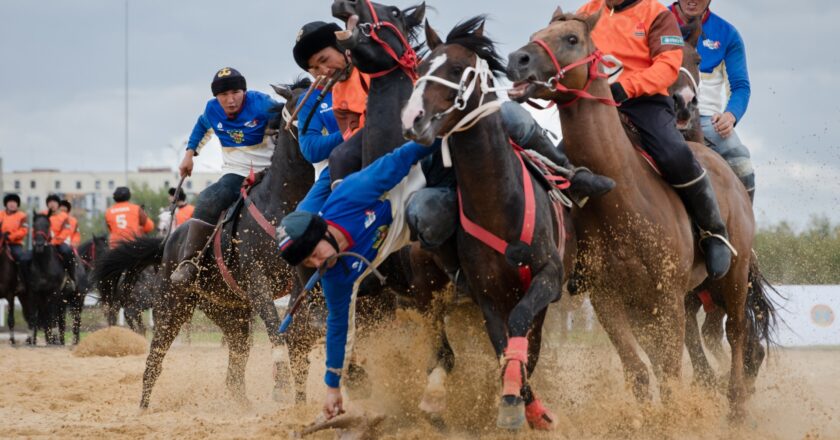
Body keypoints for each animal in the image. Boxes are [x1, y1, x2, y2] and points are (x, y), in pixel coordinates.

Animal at [92, 79, 316, 410]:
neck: (281, 202)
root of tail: (168, 244)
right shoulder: (258, 281)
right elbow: (276, 328)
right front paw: (281, 387)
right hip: (172, 308)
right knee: (155, 358)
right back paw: (144, 407)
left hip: (232, 315)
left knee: (235, 371)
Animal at [402, 16, 576, 430]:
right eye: (421, 67)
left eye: (455, 70)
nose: (413, 119)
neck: (499, 206)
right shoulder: (486, 296)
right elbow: (502, 344)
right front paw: (515, 401)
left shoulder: (547, 278)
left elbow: (521, 332)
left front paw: (524, 405)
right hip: (426, 286)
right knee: (441, 344)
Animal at [506, 7, 776, 420]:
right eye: (537, 35)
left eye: (571, 39)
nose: (516, 60)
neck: (624, 198)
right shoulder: (609, 298)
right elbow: (639, 371)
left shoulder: (669, 298)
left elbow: (670, 372)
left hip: (734, 273)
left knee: (737, 333)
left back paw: (736, 405)